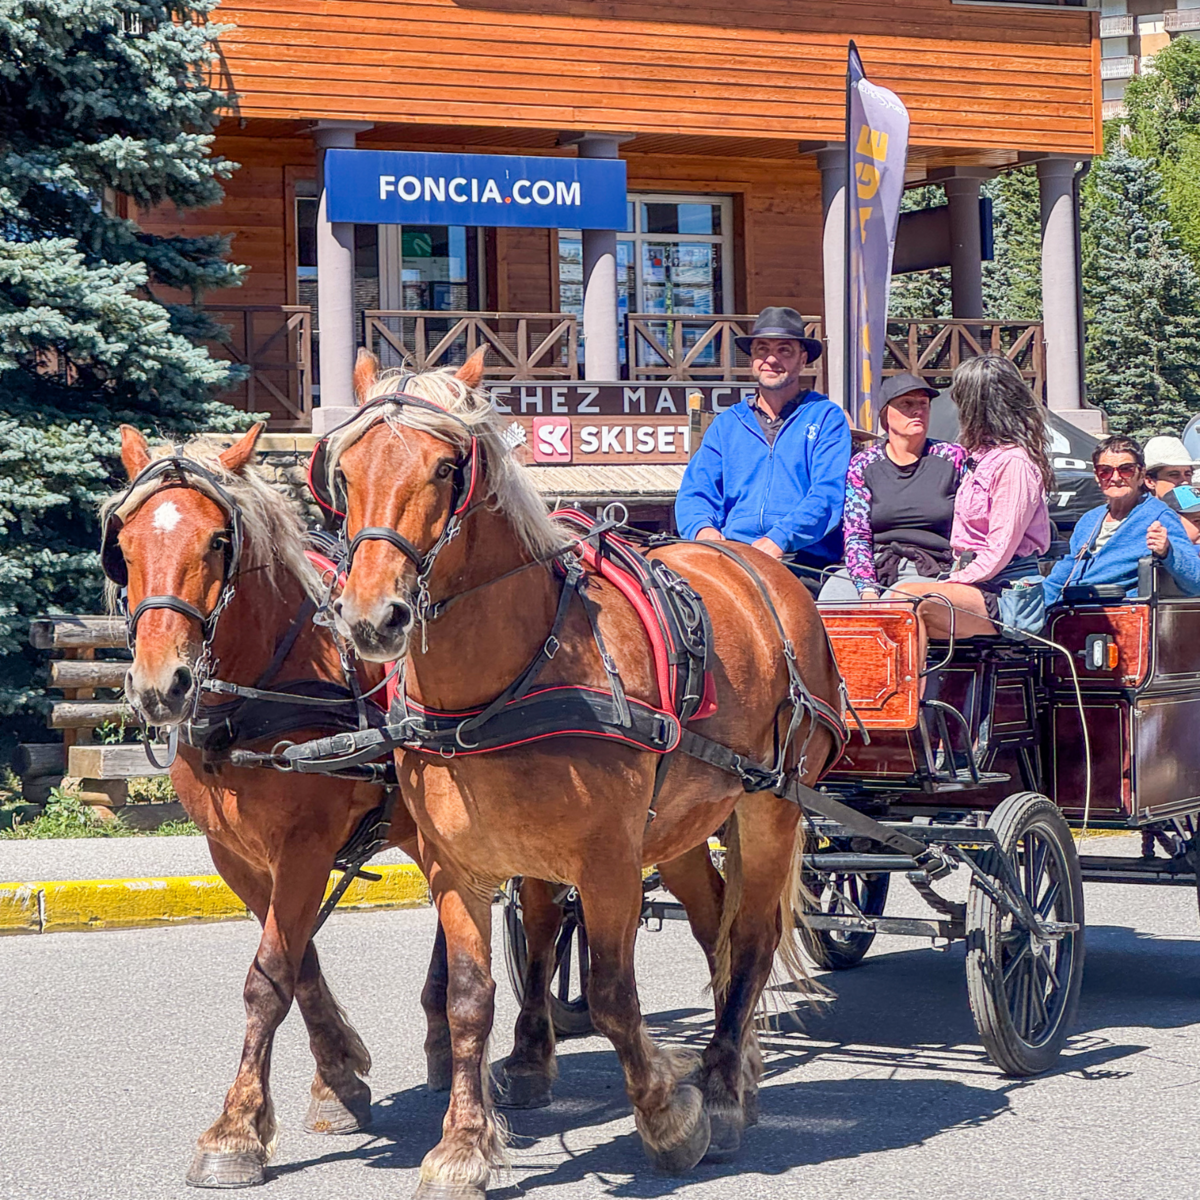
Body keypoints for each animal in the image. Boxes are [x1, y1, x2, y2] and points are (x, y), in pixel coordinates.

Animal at [104, 424, 457, 1188]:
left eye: (217, 541)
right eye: (126, 545)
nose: (160, 686)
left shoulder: (304, 846)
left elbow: (267, 981)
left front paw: (234, 1132)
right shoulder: (236, 854)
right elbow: (297, 963)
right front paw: (339, 1080)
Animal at [325, 351, 845, 1197]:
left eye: (446, 467)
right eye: (342, 471)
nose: (373, 617)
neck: (507, 678)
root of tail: (752, 561)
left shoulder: (607, 862)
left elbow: (610, 995)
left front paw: (669, 1118)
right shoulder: (454, 864)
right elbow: (470, 999)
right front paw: (463, 1143)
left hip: (771, 806)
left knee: (753, 936)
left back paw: (723, 1089)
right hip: (683, 826)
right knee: (717, 926)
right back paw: (733, 1067)